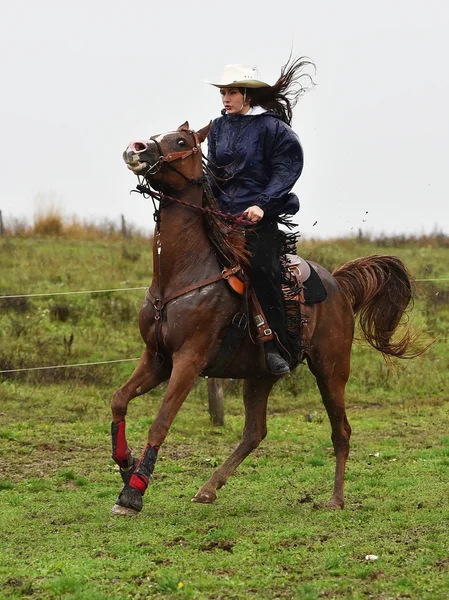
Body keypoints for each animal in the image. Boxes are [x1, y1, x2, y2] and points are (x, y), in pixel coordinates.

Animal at [111, 120, 416, 516]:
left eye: (180, 141)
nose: (136, 148)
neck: (180, 277)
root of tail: (337, 284)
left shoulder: (188, 361)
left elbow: (160, 423)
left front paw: (132, 493)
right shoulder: (157, 358)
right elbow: (119, 400)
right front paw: (126, 463)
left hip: (331, 371)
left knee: (341, 431)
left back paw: (336, 499)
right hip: (261, 376)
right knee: (255, 432)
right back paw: (208, 488)